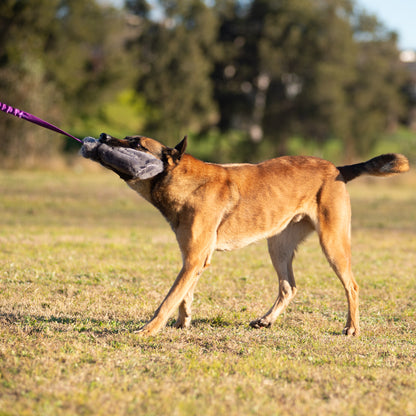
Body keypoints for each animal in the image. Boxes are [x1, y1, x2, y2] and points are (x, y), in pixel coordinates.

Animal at [81, 133, 410, 334]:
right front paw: (182, 322)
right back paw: (266, 320)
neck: (184, 181)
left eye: (136, 144)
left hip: (333, 244)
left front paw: (148, 330)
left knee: (351, 285)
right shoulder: (195, 258)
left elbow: (169, 299)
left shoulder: (194, 258)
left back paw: (352, 328)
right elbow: (184, 294)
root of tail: (336, 168)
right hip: (278, 246)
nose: (102, 138)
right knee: (289, 286)